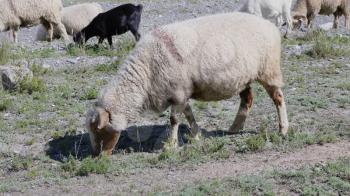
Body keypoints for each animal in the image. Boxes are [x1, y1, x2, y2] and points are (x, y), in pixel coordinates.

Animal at [86, 13, 288, 155]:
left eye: (99, 129)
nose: (97, 155)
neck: (146, 71)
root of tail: (270, 25)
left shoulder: (178, 91)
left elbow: (174, 119)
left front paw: (171, 145)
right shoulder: (181, 92)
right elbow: (188, 113)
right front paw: (196, 135)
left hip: (268, 69)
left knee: (278, 98)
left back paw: (283, 129)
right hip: (244, 77)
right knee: (247, 99)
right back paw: (234, 128)